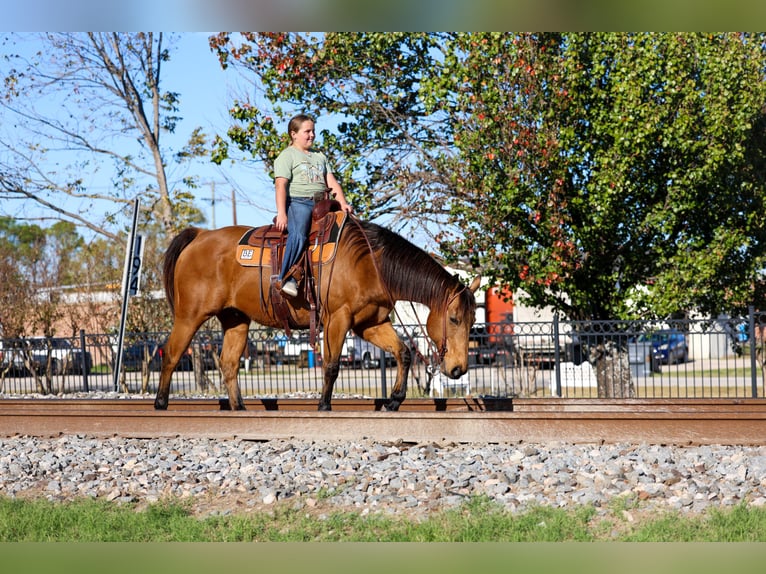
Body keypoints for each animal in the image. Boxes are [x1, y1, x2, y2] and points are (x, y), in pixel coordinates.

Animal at [154, 217, 480, 412]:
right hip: (189, 316)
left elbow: (403, 353)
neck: (370, 263)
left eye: (473, 321)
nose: (458, 370)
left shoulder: (371, 324)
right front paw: (324, 406)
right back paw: (160, 403)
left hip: (235, 319)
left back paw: (241, 409)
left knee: (229, 364)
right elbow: (332, 365)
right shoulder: (338, 319)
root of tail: (200, 235)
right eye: (454, 318)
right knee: (171, 354)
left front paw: (395, 401)